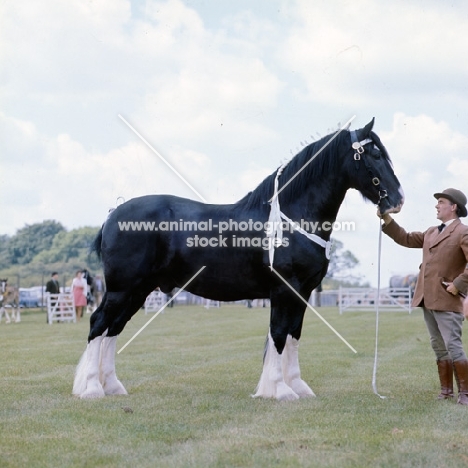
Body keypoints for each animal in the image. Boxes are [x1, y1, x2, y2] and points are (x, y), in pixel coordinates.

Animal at [73, 119, 402, 400]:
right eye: (373, 154)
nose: (397, 200)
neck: (292, 215)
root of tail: (113, 214)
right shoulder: (284, 290)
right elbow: (278, 334)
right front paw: (279, 390)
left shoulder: (303, 292)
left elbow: (293, 335)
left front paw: (297, 387)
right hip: (121, 289)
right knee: (98, 323)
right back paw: (91, 388)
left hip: (138, 291)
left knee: (113, 329)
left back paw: (112, 386)